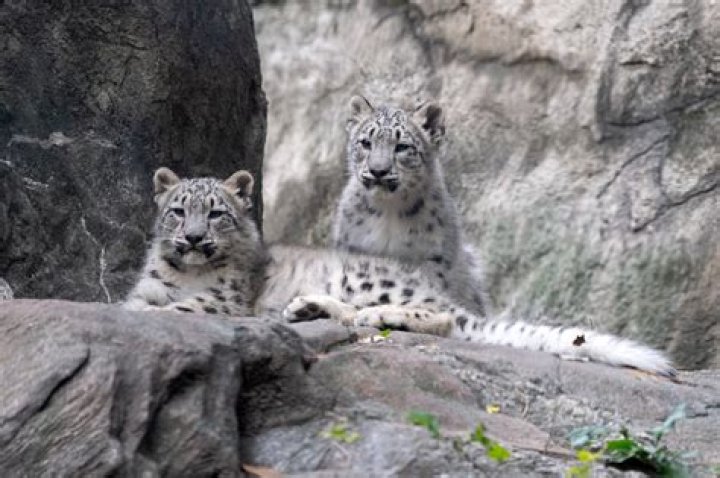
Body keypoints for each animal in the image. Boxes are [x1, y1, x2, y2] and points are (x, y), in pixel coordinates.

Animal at [123, 167, 266, 315]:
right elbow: (135, 302)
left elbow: (192, 305)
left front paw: (155, 309)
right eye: (179, 211)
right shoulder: (151, 287)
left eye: (215, 213)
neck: (191, 273)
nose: (193, 237)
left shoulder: (228, 297)